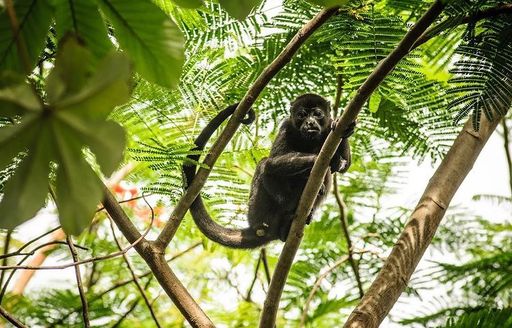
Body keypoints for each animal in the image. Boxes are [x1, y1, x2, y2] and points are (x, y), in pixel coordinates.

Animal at [182, 94, 354, 249]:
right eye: (301, 115)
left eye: (317, 114)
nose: (310, 122)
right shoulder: (286, 126)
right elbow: (272, 163)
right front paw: (318, 158)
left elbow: (345, 165)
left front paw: (344, 127)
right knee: (264, 164)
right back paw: (290, 206)